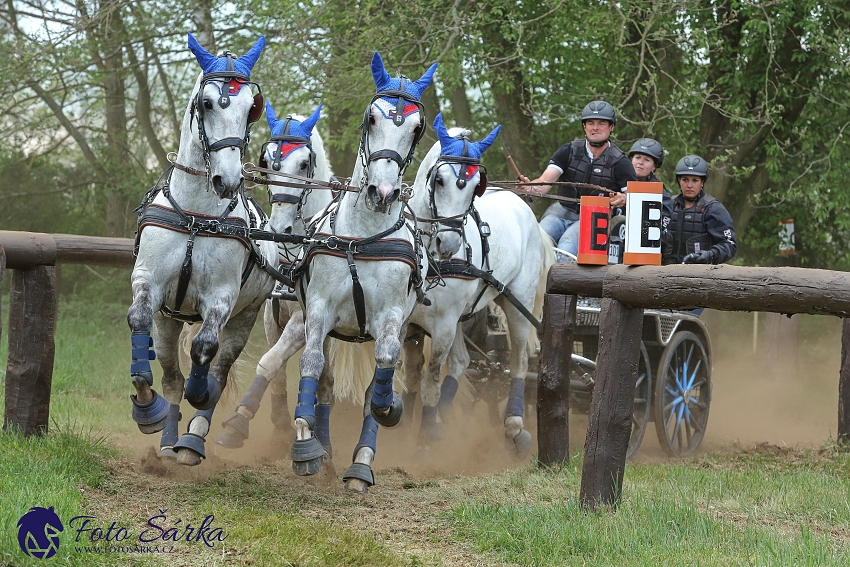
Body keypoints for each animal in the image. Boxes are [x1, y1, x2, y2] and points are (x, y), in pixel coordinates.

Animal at [127, 34, 276, 466]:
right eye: (207, 103)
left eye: (250, 109)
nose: (228, 179)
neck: (196, 214)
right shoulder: (149, 282)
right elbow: (138, 322)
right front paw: (147, 408)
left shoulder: (222, 297)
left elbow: (206, 351)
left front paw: (201, 396)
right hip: (169, 320)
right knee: (173, 376)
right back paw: (167, 440)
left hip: (246, 316)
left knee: (219, 368)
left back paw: (192, 439)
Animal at [214, 101, 336, 448]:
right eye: (267, 161)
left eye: (305, 163)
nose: (281, 227)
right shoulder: (272, 314)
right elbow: (276, 369)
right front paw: (279, 422)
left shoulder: (302, 320)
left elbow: (269, 360)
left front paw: (237, 422)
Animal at [292, 52, 438, 492]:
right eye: (371, 118)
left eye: (417, 127)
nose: (382, 193)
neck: (363, 237)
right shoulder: (319, 309)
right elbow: (311, 366)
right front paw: (306, 444)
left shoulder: (391, 317)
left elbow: (382, 379)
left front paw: (387, 414)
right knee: (324, 384)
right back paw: (322, 448)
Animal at [404, 116, 556, 458]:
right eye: (439, 179)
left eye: (476, 187)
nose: (448, 244)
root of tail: (523, 207)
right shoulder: (405, 324)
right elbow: (407, 378)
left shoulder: (443, 325)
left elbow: (429, 385)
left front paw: (422, 443)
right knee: (462, 362)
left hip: (516, 302)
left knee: (518, 361)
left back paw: (515, 427)